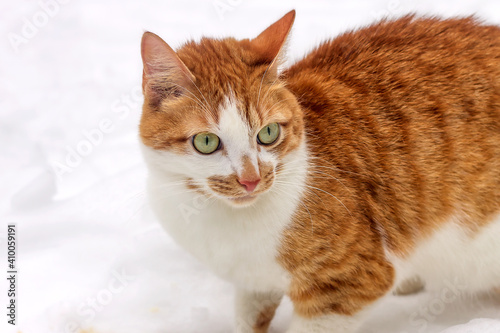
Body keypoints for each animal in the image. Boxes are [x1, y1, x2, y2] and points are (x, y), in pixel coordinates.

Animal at [138, 10, 500, 332]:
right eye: (207, 141)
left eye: (268, 133)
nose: (251, 179)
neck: (226, 222)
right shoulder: (253, 281)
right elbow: (249, 316)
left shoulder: (350, 283)